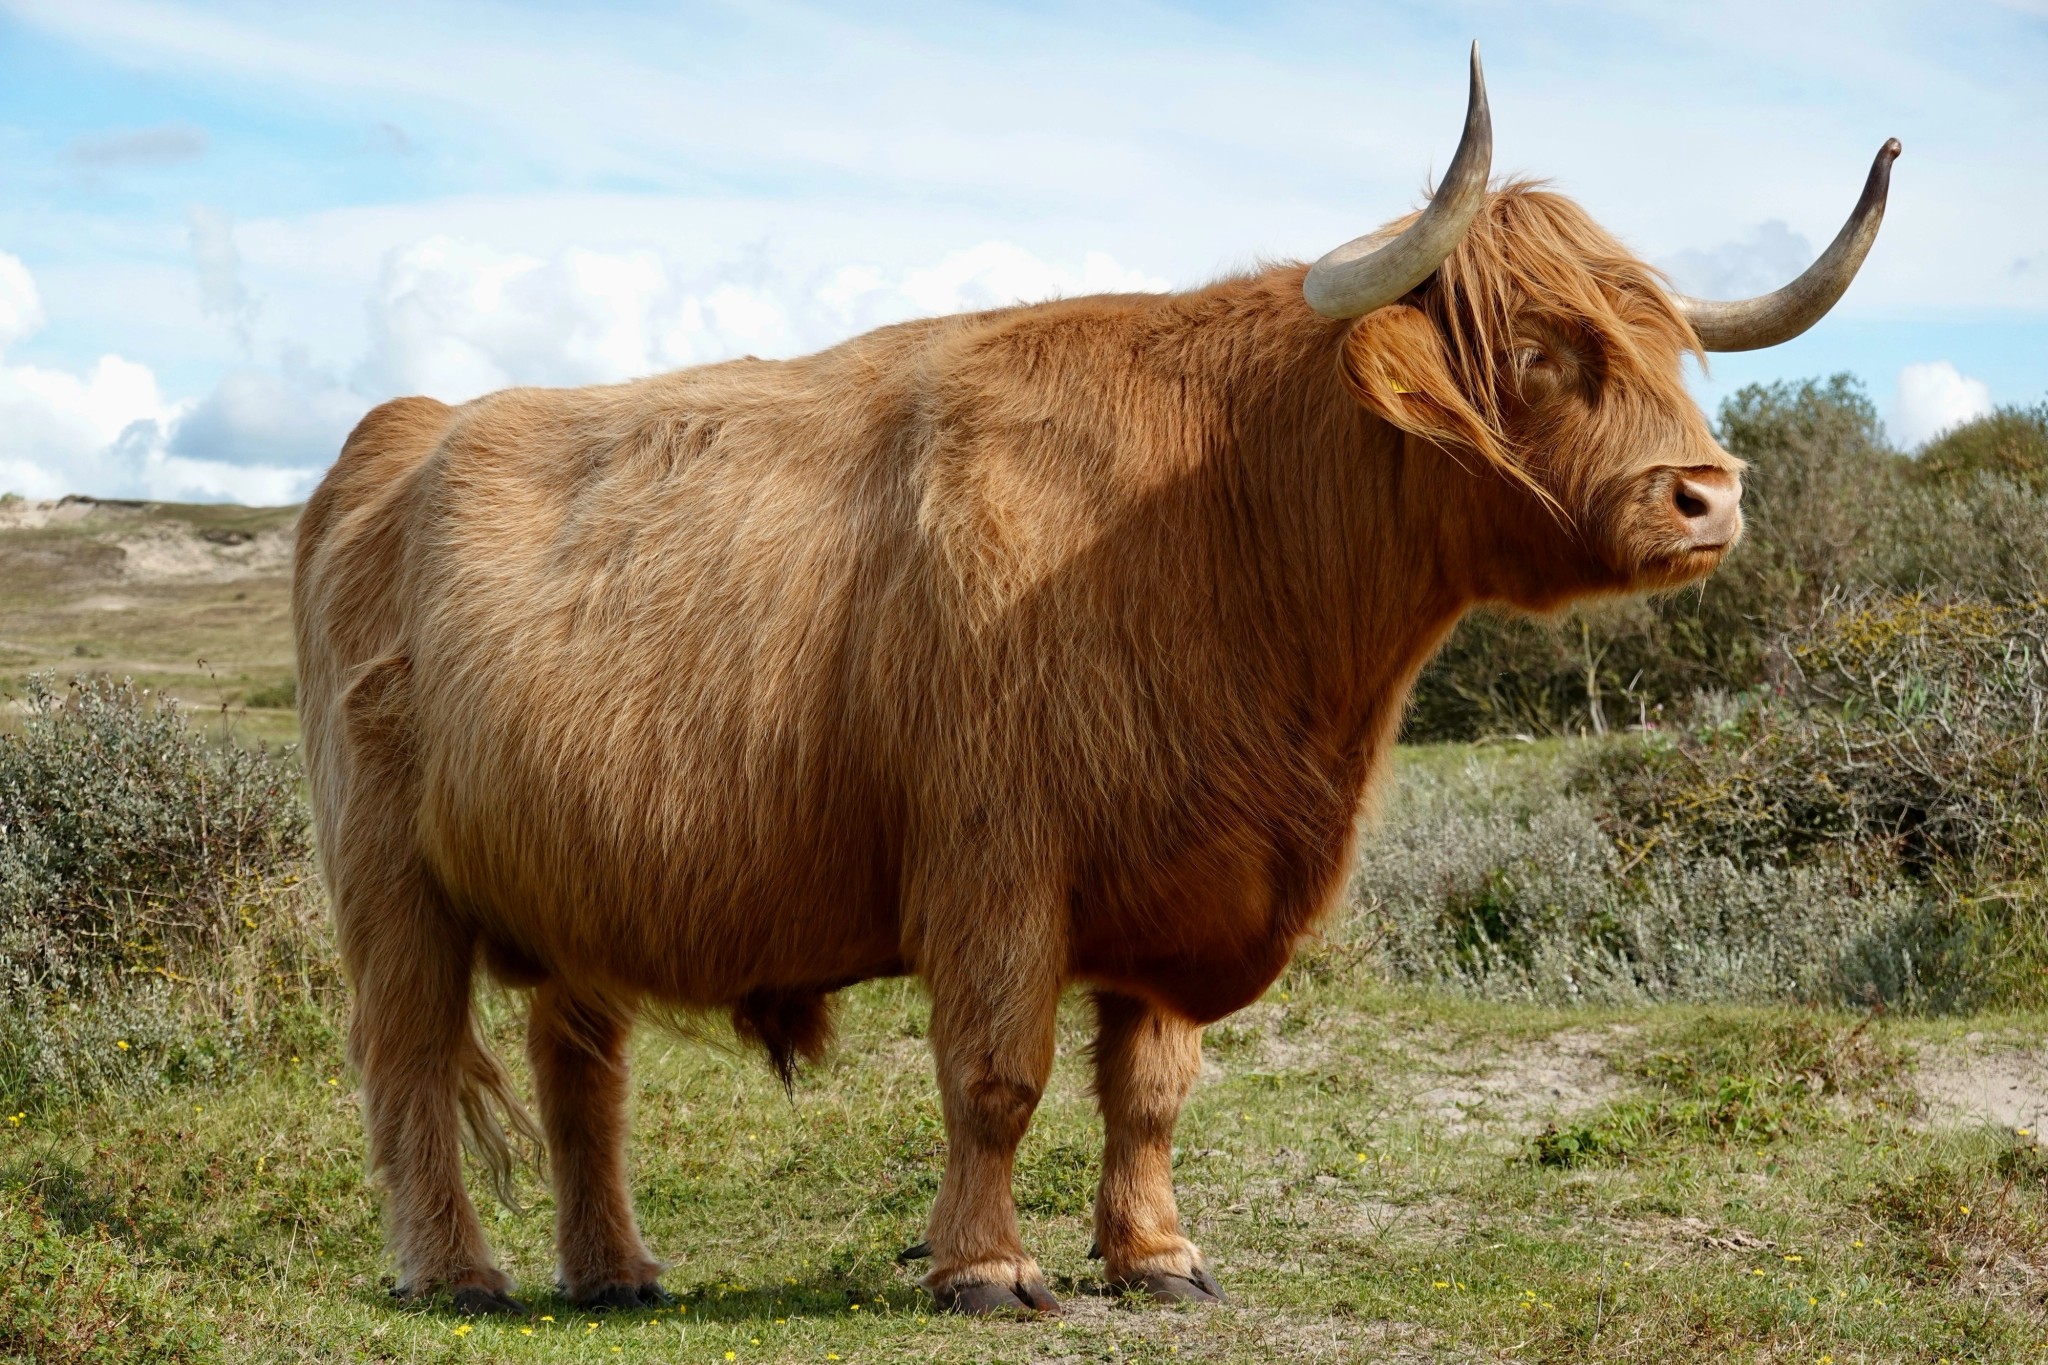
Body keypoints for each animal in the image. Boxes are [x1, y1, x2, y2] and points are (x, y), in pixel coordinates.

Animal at [293, 46, 1897, 1317]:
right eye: (1534, 349)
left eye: (1667, 344)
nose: (1707, 494)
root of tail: (401, 432)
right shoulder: (994, 862)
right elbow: (997, 1077)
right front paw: (986, 1269)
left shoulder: (1184, 872)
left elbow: (1151, 1089)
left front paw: (1159, 1257)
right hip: (391, 885)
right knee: (408, 1063)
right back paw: (455, 1273)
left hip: (576, 882)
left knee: (580, 1075)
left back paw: (615, 1272)